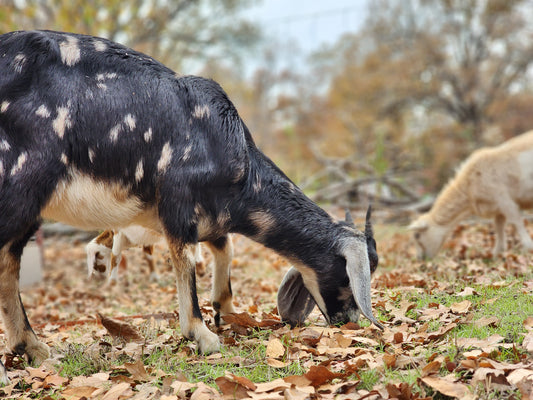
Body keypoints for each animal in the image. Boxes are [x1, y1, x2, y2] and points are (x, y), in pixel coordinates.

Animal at [0, 29, 382, 382]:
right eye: (347, 274)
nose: (348, 322)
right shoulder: (177, 200)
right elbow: (185, 259)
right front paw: (201, 334)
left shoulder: (211, 215)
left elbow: (224, 249)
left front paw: (226, 309)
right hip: (22, 183)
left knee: (9, 257)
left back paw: (33, 348)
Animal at [408, 130, 532, 258]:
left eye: (417, 235)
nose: (419, 259)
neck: (468, 188)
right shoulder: (497, 208)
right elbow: (499, 226)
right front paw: (497, 253)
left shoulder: (504, 200)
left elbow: (516, 221)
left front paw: (528, 247)